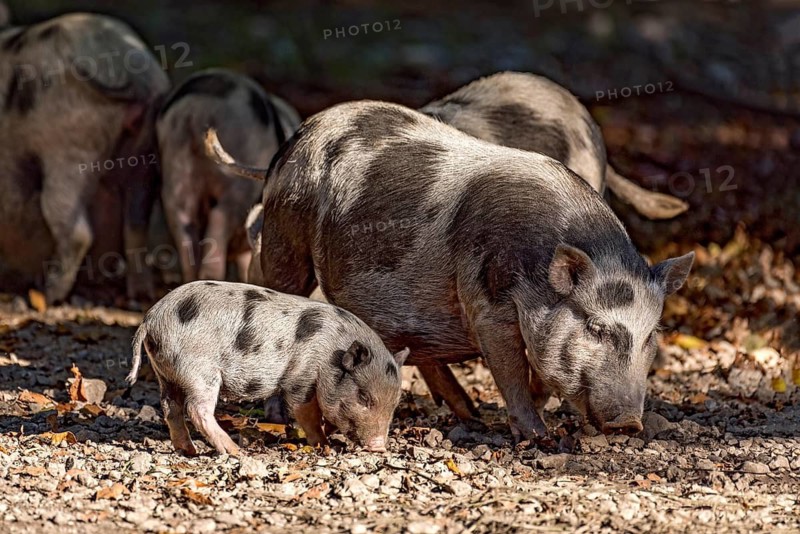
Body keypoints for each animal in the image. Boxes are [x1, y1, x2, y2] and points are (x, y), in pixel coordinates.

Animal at [0, 13, 169, 302]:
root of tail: (132, 72)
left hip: (69, 149)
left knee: (76, 229)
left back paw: (48, 295)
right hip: (144, 156)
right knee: (136, 226)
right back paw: (141, 294)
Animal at [126, 280, 410, 454]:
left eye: (394, 403)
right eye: (364, 397)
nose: (379, 446)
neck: (331, 354)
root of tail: (151, 318)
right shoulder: (300, 379)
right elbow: (306, 412)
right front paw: (325, 445)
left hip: (167, 373)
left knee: (170, 407)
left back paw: (190, 451)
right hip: (199, 371)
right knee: (196, 409)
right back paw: (236, 451)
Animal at [206, 101, 694, 440]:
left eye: (651, 335)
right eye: (595, 327)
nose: (630, 422)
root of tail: (289, 146)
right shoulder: (488, 304)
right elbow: (510, 369)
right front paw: (537, 436)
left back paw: (470, 415)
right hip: (286, 239)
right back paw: (279, 419)